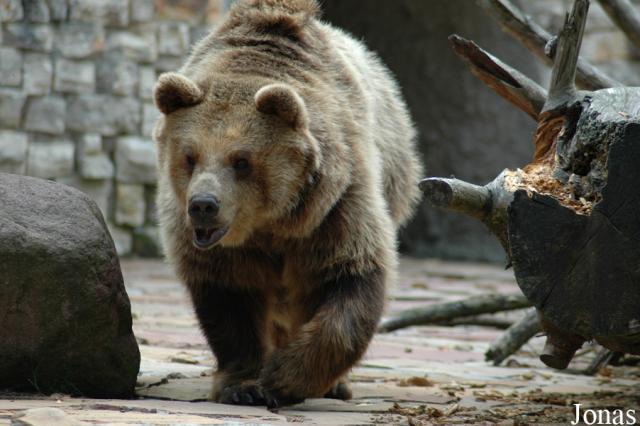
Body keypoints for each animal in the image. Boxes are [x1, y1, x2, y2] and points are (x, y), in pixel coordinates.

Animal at [152, 0, 422, 408]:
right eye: (190, 156)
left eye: (242, 161)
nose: (203, 205)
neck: (270, 224)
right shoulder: (216, 248)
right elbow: (229, 299)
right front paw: (244, 384)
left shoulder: (335, 207)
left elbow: (351, 275)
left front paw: (284, 377)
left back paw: (335, 385)